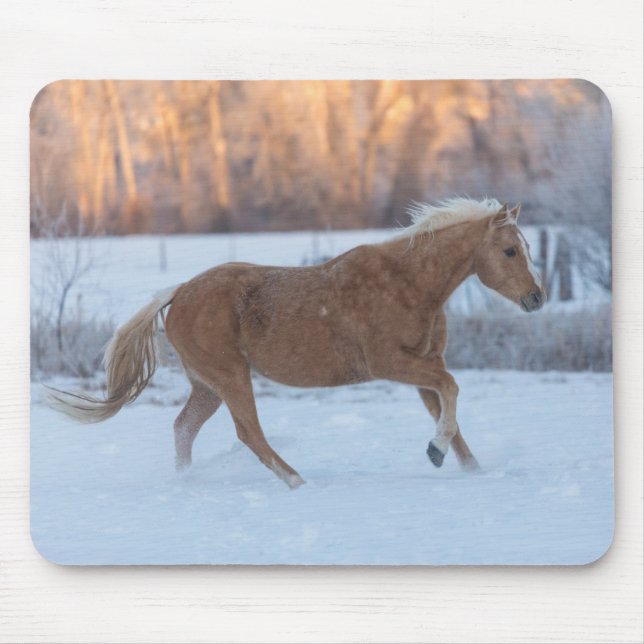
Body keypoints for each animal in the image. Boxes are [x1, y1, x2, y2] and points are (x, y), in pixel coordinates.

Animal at [45, 198, 545, 488]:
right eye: (509, 251)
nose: (536, 298)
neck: (409, 283)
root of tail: (178, 292)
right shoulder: (391, 364)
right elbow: (453, 390)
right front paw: (435, 451)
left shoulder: (423, 368)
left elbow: (451, 413)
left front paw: (468, 468)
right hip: (230, 376)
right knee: (248, 433)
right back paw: (297, 482)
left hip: (207, 385)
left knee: (184, 428)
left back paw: (188, 482)